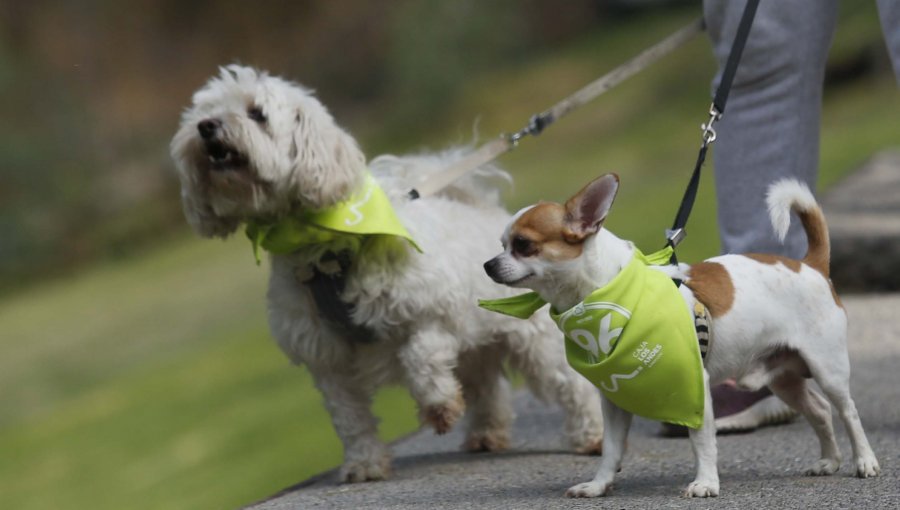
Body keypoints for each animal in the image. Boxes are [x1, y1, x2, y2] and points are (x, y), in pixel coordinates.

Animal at [169, 64, 604, 482]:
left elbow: (420, 358)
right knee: (486, 386)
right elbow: (349, 419)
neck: (325, 247)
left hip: (530, 340)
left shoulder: (432, 314)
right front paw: (364, 464)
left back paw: (592, 435)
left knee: (568, 384)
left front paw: (438, 407)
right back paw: (486, 434)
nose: (206, 127)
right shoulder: (326, 357)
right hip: (476, 345)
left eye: (256, 113)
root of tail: (482, 207)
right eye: (203, 112)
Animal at [486, 175, 880, 498]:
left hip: (827, 369)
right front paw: (598, 485)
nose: (488, 264)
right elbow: (611, 448)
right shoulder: (613, 399)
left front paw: (706, 483)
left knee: (848, 412)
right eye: (501, 243)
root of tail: (811, 266)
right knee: (820, 411)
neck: (610, 295)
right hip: (783, 379)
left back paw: (864, 461)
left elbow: (701, 441)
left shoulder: (695, 389)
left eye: (523, 244)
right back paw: (829, 460)